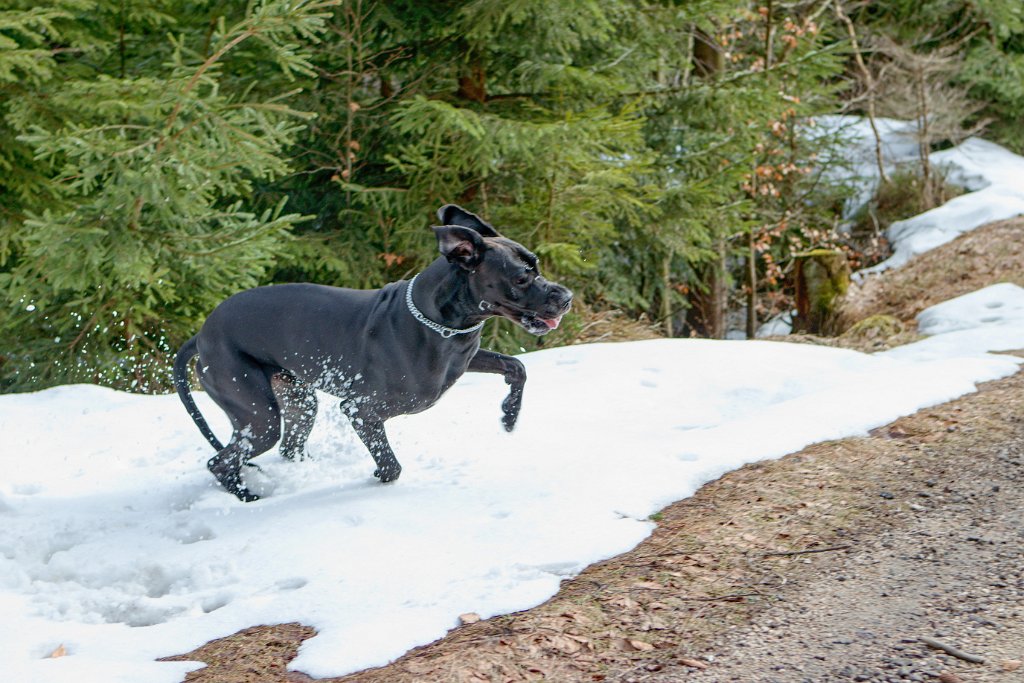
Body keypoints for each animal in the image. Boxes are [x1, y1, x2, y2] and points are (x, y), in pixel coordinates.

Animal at [176, 204, 577, 501]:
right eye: (521, 277)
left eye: (537, 264)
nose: (567, 298)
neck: (437, 321)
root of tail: (200, 335)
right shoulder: (360, 409)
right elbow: (391, 465)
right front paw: (376, 482)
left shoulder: (465, 359)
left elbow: (517, 367)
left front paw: (509, 416)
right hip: (258, 415)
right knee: (220, 462)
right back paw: (249, 497)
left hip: (298, 401)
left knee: (288, 448)